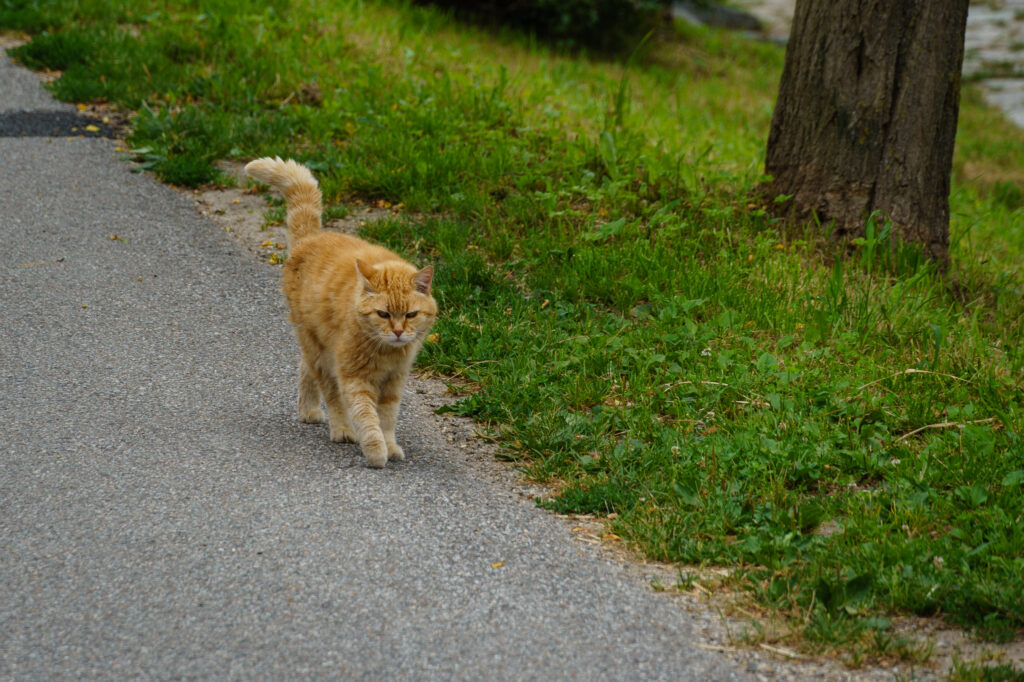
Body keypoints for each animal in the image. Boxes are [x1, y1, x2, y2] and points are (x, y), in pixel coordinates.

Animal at [247, 157, 440, 466]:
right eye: (383, 315)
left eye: (410, 315)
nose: (399, 332)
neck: (387, 352)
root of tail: (312, 239)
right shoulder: (354, 377)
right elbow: (367, 416)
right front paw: (375, 451)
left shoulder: (394, 382)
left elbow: (387, 418)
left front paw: (389, 444)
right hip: (322, 352)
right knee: (329, 391)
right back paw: (340, 429)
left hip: (318, 347)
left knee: (305, 369)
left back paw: (308, 410)